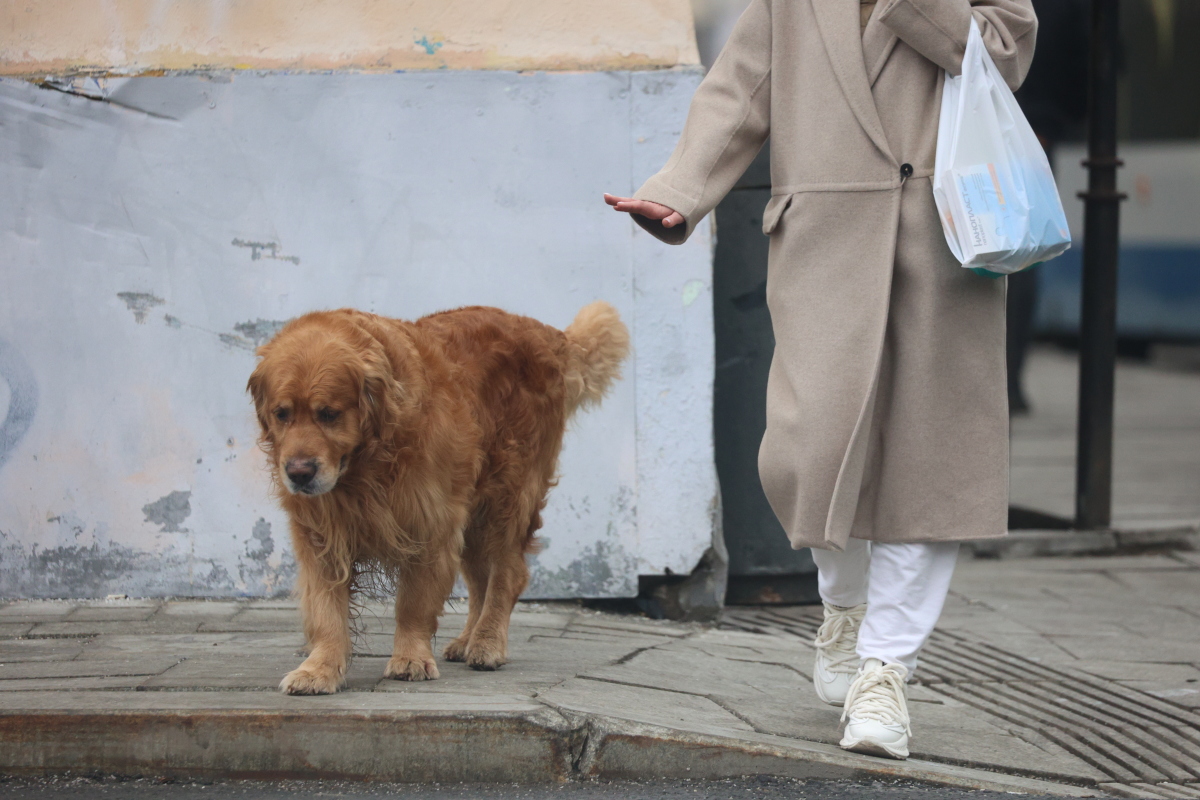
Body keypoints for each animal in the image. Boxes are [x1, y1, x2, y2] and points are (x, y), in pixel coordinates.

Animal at [247, 302, 629, 695]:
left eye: (329, 414)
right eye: (281, 414)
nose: (299, 473)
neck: (364, 466)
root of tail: (546, 333)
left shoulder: (429, 523)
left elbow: (414, 603)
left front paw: (410, 658)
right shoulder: (321, 533)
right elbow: (326, 609)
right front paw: (320, 669)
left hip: (509, 496)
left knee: (508, 574)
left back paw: (488, 642)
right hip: (473, 515)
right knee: (479, 581)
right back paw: (467, 639)